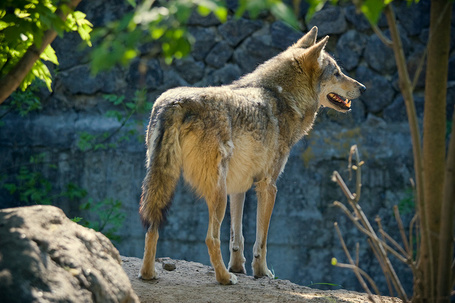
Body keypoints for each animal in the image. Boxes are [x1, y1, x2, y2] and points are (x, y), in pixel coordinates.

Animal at [139, 26, 366, 284]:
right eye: (337, 73)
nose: (363, 88)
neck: (283, 97)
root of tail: (175, 103)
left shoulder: (239, 186)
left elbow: (237, 237)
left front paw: (238, 267)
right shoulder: (268, 186)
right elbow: (262, 240)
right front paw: (261, 272)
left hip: (165, 184)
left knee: (152, 227)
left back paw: (148, 274)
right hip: (216, 194)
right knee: (210, 238)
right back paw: (224, 278)